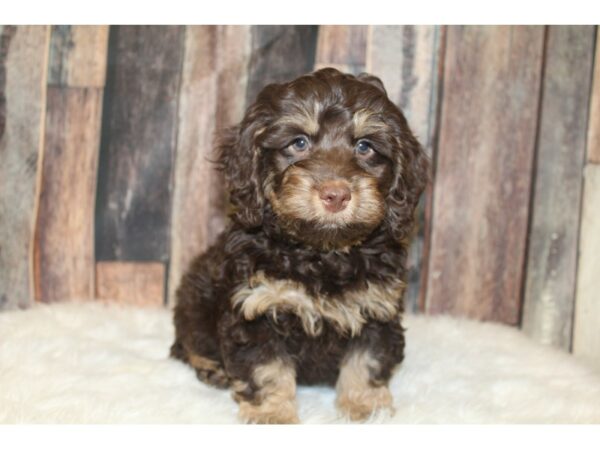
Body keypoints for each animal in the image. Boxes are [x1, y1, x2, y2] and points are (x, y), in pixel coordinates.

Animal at [171, 67, 428, 422]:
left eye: (365, 146)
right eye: (299, 143)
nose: (336, 194)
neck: (322, 253)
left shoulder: (376, 307)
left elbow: (366, 360)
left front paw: (366, 407)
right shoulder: (257, 307)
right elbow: (266, 367)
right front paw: (272, 415)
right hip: (194, 299)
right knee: (188, 341)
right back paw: (212, 368)